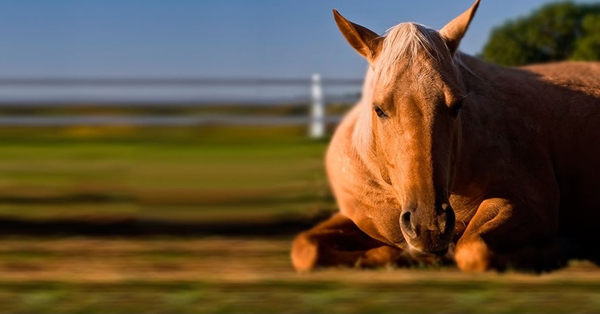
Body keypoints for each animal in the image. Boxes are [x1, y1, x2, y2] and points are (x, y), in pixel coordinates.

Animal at [290, 0, 600, 272]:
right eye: (378, 109)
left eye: (457, 105)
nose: (429, 227)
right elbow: (305, 248)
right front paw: (392, 256)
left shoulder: (530, 204)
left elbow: (473, 249)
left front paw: (555, 249)